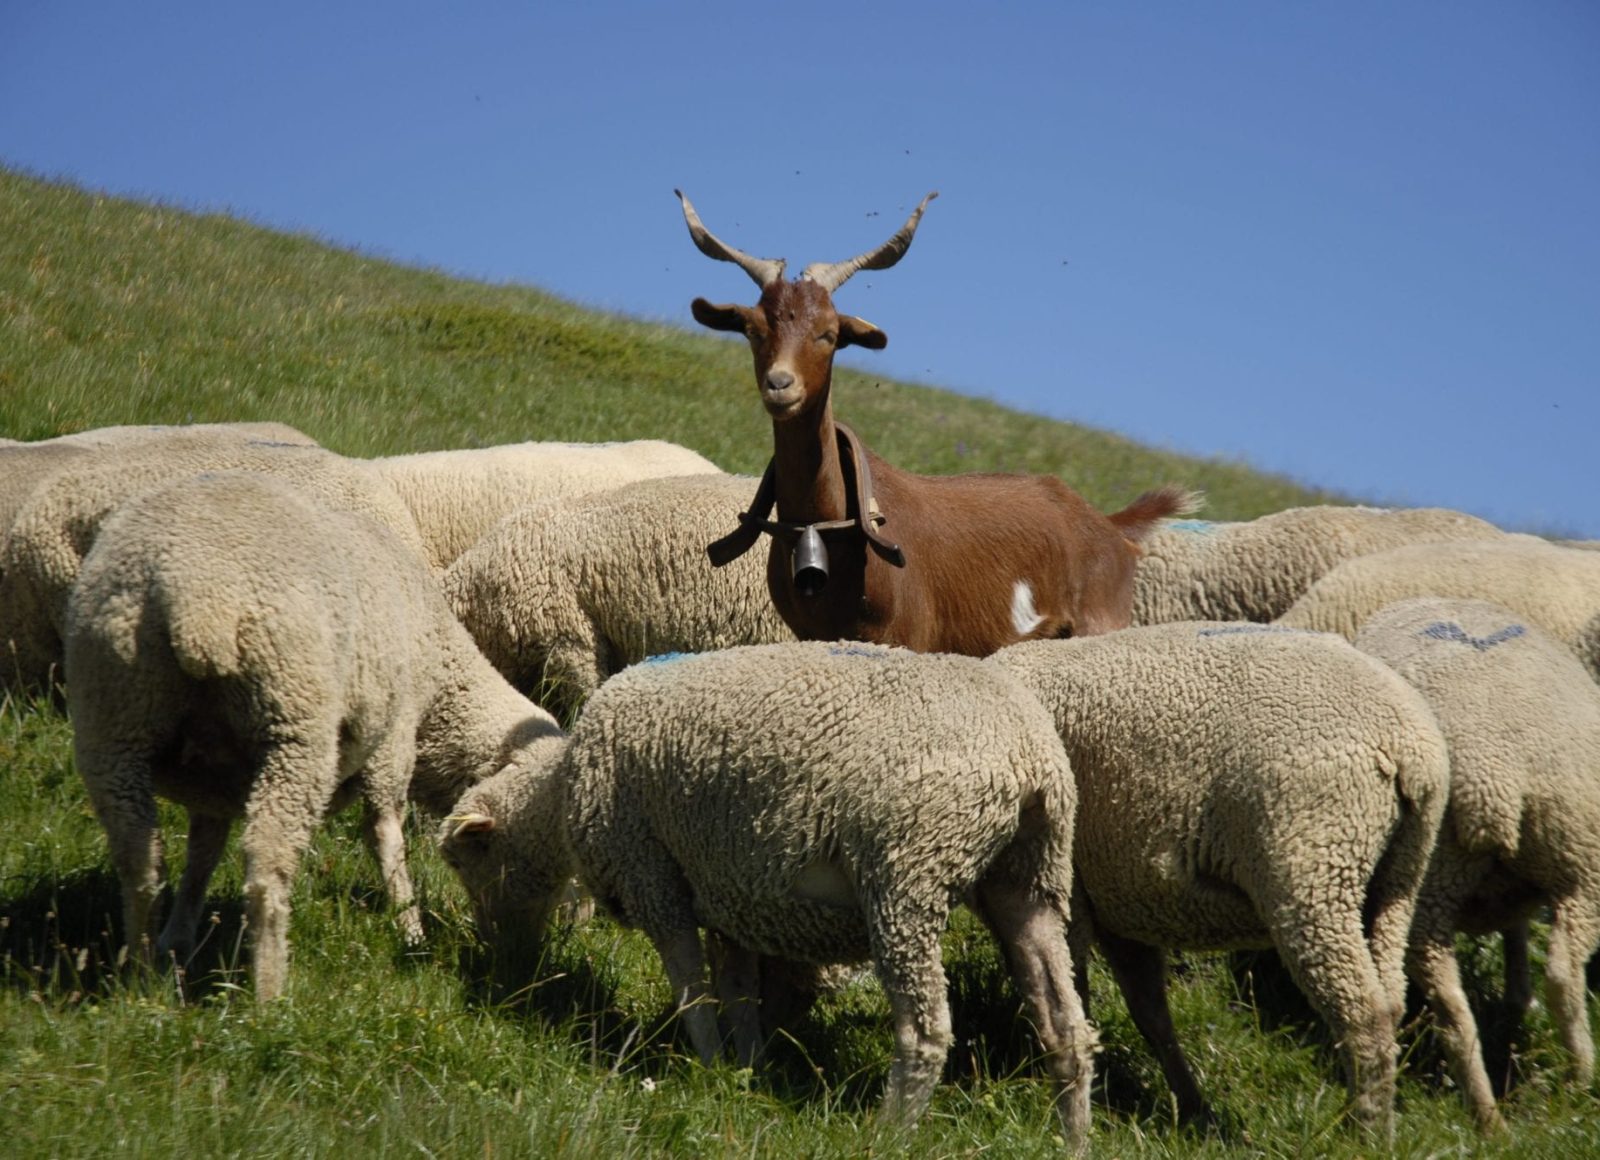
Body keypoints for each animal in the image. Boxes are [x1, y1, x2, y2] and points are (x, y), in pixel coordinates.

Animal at [678, 190, 1193, 654]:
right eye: (754, 329)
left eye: (829, 333)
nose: (780, 385)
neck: (825, 522)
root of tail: (1107, 525)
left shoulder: (908, 637)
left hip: (1099, 623)